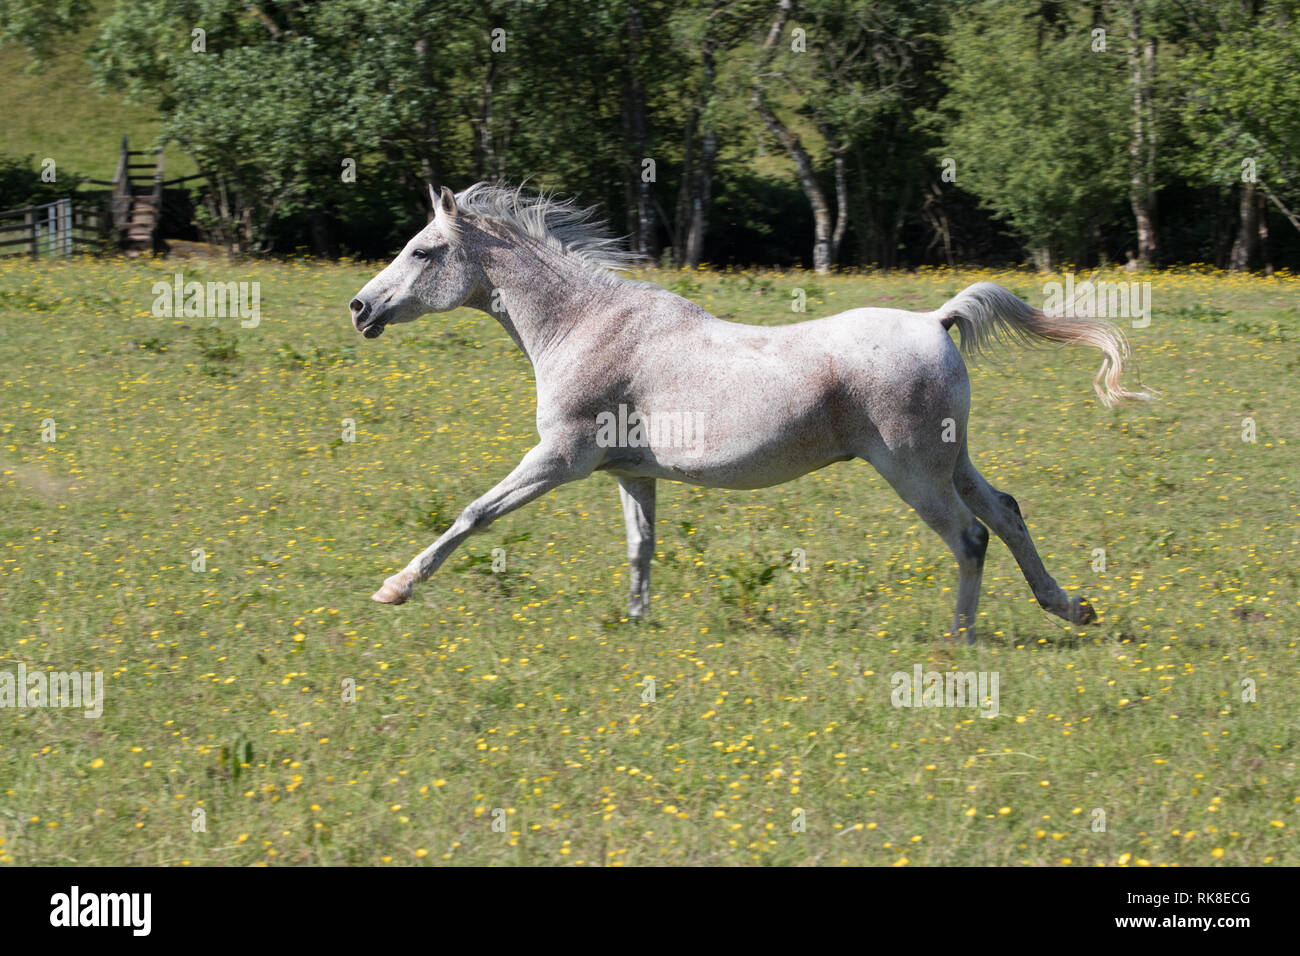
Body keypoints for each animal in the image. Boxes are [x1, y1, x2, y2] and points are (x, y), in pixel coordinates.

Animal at [349, 183, 1152, 642]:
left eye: (423, 251)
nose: (360, 308)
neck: (586, 325)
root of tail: (935, 320)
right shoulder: (628, 472)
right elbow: (641, 548)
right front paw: (636, 626)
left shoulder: (560, 459)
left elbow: (474, 514)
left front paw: (394, 588)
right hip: (952, 461)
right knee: (1007, 514)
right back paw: (1070, 607)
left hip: (915, 473)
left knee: (970, 537)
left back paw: (961, 641)